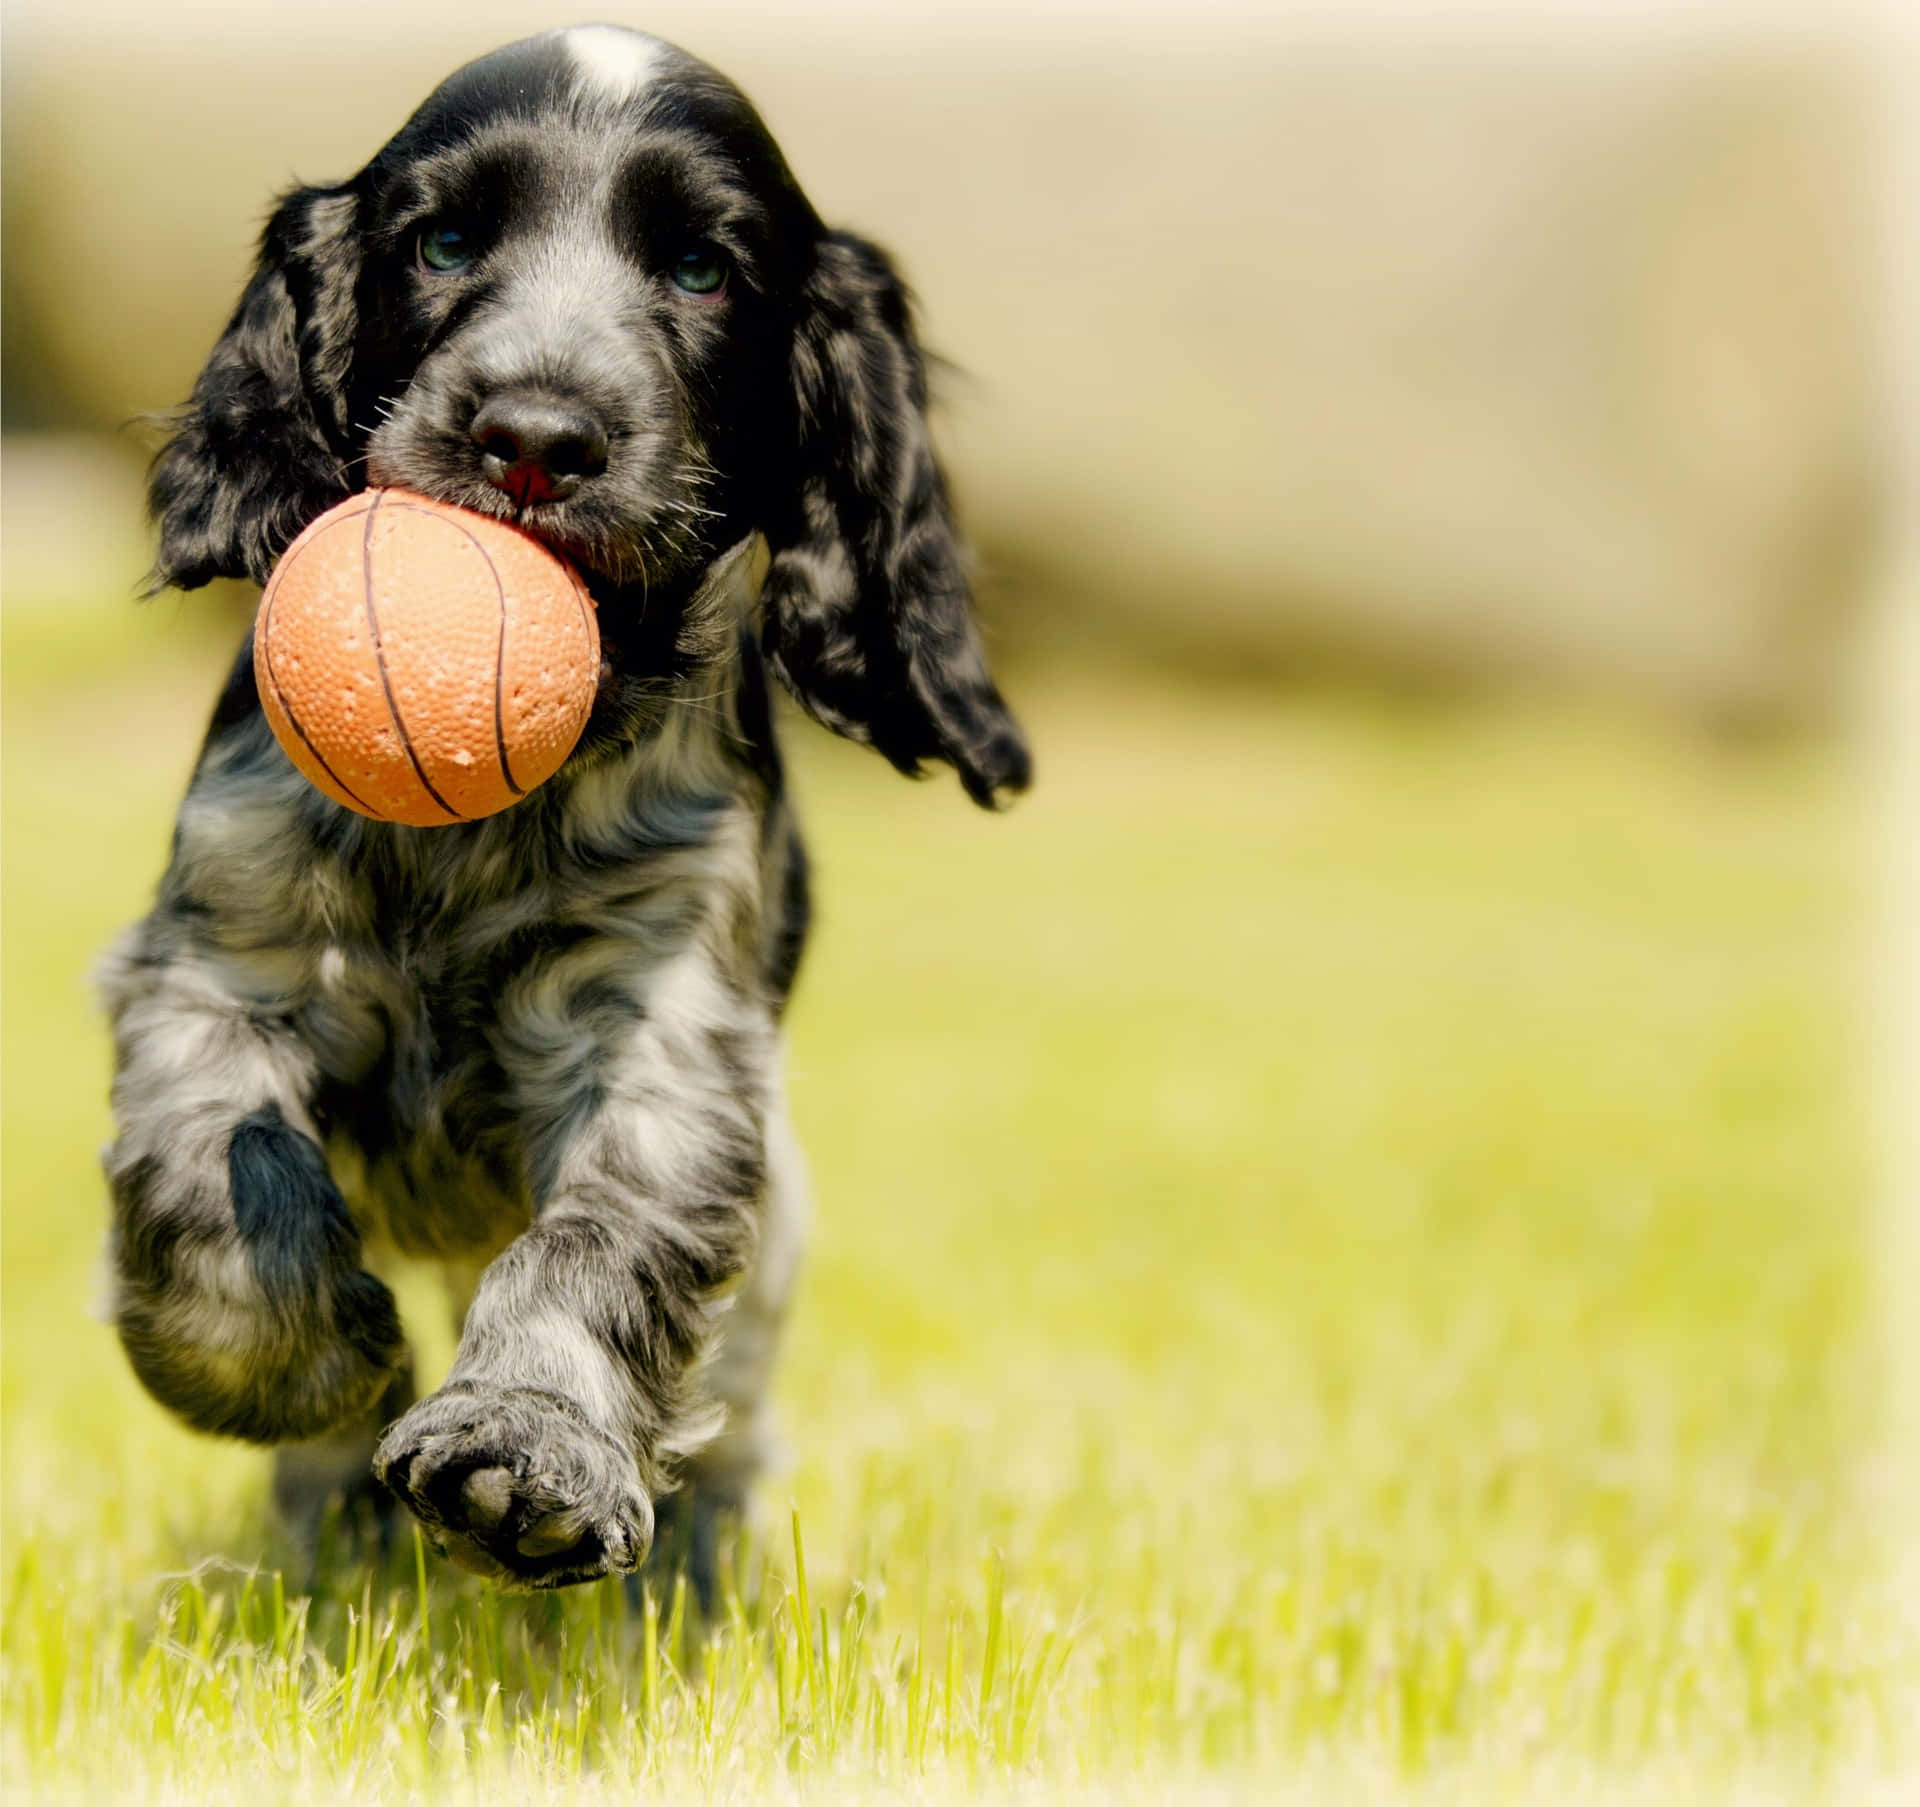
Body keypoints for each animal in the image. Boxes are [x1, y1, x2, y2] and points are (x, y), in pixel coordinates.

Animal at [101, 21, 1036, 1590]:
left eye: (703, 269)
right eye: (442, 242)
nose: (535, 435)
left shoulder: (662, 1023)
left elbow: (599, 1239)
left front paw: (526, 1450)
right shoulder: (223, 947)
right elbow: (213, 1160)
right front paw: (296, 1365)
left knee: (733, 1404)